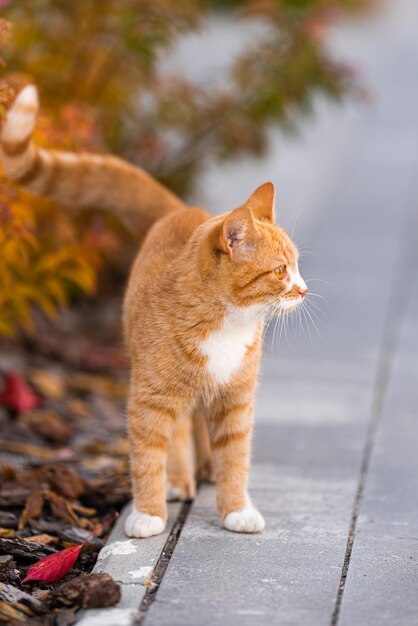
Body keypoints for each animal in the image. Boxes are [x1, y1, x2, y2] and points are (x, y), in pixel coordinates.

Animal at [0, 86, 306, 536]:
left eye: (297, 265)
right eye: (281, 270)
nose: (304, 289)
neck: (226, 323)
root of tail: (180, 209)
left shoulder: (236, 398)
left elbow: (235, 456)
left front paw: (235, 509)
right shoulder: (150, 397)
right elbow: (147, 457)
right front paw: (148, 513)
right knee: (177, 433)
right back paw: (178, 481)